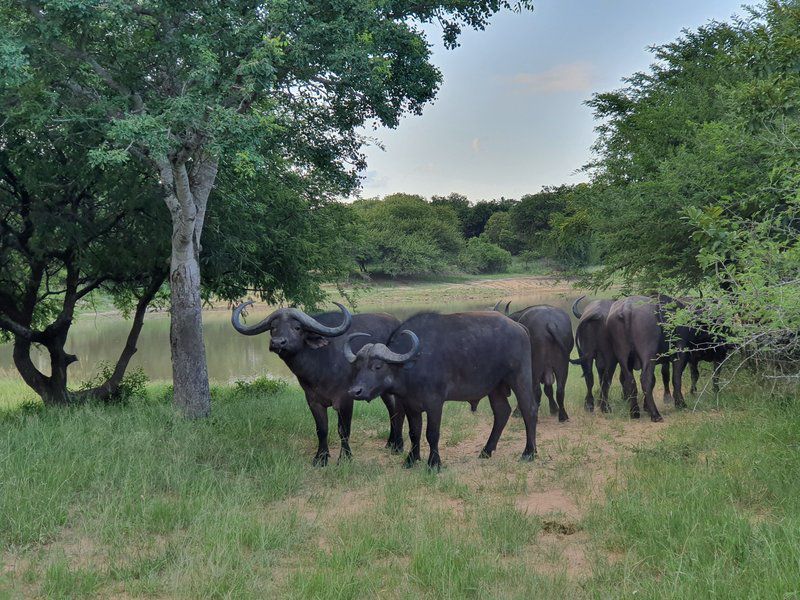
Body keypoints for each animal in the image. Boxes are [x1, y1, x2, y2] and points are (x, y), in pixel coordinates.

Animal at [231, 302, 406, 466]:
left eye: (297, 327)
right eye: (273, 328)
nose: (278, 343)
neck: (320, 364)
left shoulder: (345, 400)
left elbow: (343, 430)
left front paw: (345, 458)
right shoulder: (313, 400)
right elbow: (321, 429)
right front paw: (321, 457)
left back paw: (398, 446)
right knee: (392, 410)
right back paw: (391, 443)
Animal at [344, 312, 536, 472]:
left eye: (378, 366)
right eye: (358, 367)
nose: (355, 391)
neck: (413, 364)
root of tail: (520, 327)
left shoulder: (435, 403)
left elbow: (432, 434)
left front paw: (434, 463)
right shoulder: (410, 405)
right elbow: (414, 432)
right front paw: (411, 459)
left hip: (520, 378)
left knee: (529, 410)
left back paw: (529, 452)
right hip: (495, 388)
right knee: (502, 412)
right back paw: (486, 451)